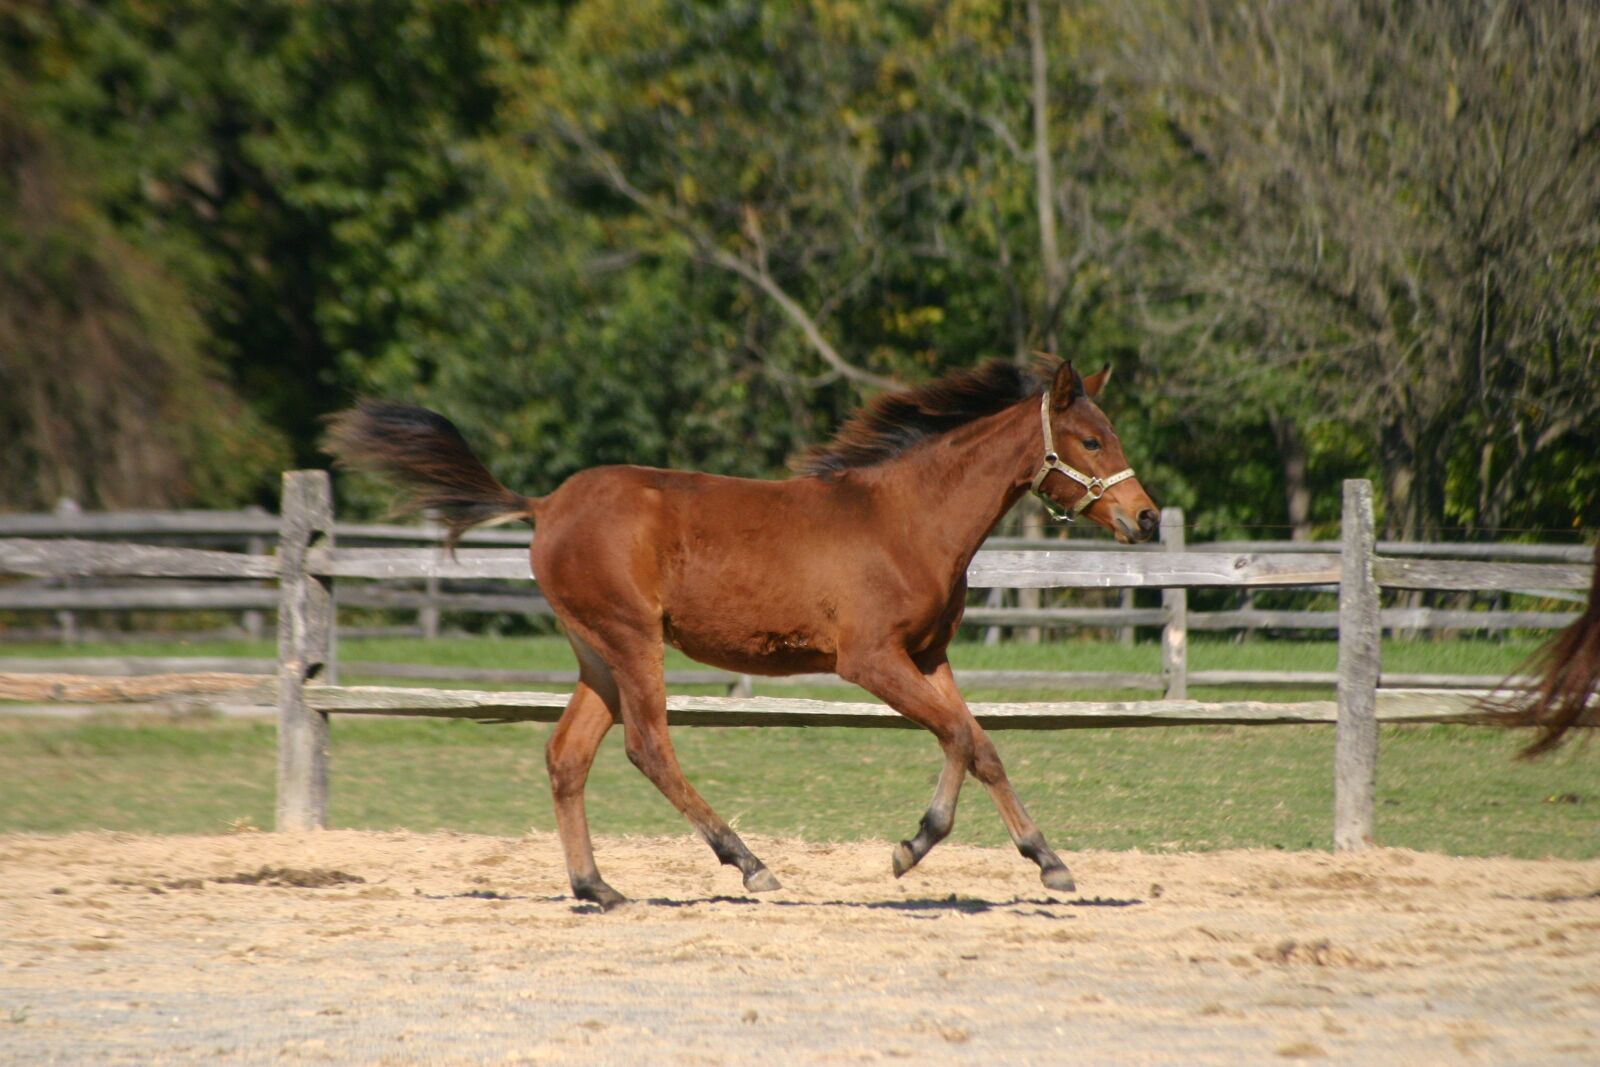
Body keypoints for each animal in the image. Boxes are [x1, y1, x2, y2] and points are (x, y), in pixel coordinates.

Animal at [325, 357, 1160, 910]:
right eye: (1090, 441)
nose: (1147, 519)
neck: (904, 518)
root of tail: (544, 504)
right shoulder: (870, 660)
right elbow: (956, 735)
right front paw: (911, 846)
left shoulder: (928, 656)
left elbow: (981, 744)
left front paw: (1048, 860)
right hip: (632, 641)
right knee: (647, 746)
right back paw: (748, 861)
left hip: (596, 653)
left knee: (568, 757)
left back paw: (597, 885)